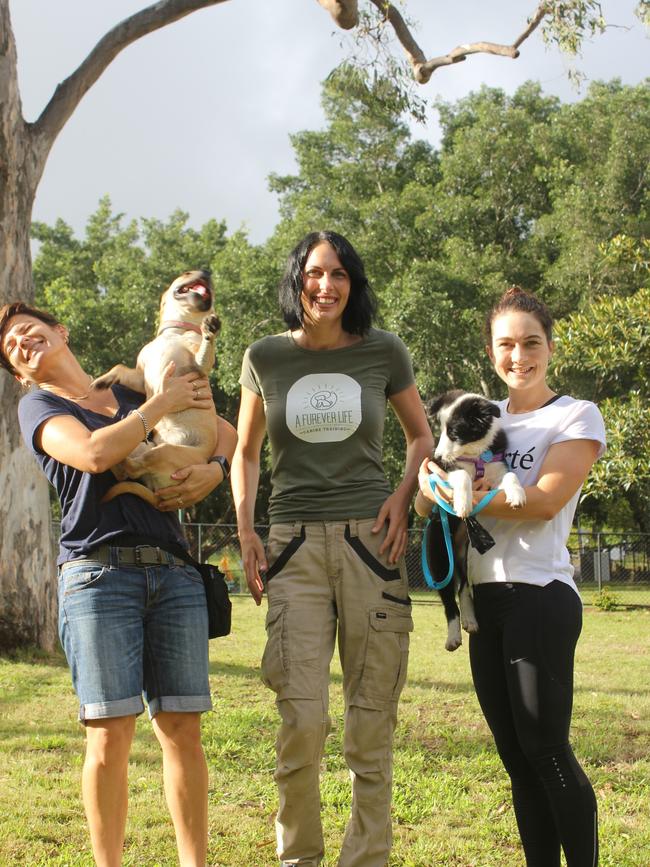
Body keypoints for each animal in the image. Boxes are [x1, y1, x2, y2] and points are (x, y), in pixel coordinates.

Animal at [92, 268, 220, 506]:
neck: (176, 332)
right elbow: (120, 368)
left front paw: (210, 329)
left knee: (132, 469)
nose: (207, 271)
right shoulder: (140, 376)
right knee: (127, 471)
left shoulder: (198, 365)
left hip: (164, 452)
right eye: (187, 272)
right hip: (144, 446)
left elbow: (204, 352)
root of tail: (158, 495)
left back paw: (121, 460)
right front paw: (103, 380)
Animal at [422, 390, 524, 648]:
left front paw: (518, 495)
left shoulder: (497, 466)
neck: (475, 454)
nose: (437, 455)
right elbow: (462, 476)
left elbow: (510, 476)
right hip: (439, 556)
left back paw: (470, 620)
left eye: (455, 433)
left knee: (463, 588)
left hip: (464, 555)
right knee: (449, 601)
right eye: (440, 429)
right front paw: (463, 502)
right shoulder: (444, 470)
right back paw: (453, 636)